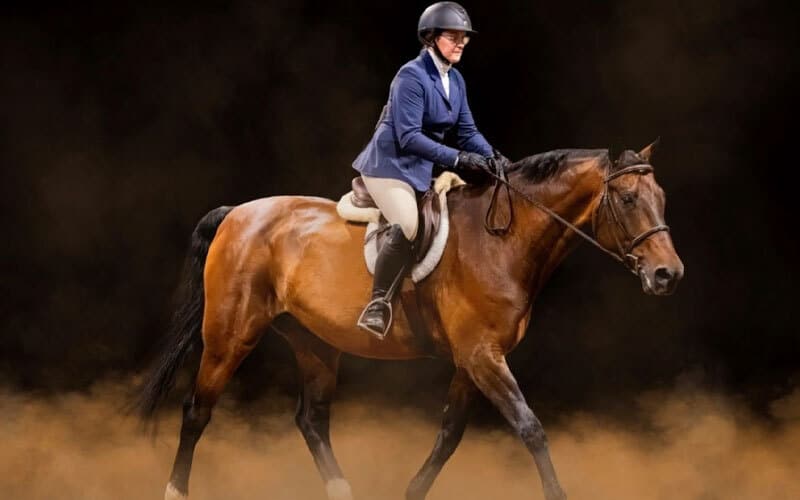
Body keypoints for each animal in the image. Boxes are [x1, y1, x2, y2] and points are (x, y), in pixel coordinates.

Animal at [137, 140, 684, 500]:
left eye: (662, 200)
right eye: (629, 200)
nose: (668, 275)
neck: (501, 241)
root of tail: (237, 213)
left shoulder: (473, 359)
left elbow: (449, 435)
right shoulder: (482, 356)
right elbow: (530, 428)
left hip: (315, 343)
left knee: (312, 420)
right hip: (230, 335)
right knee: (197, 411)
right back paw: (175, 490)